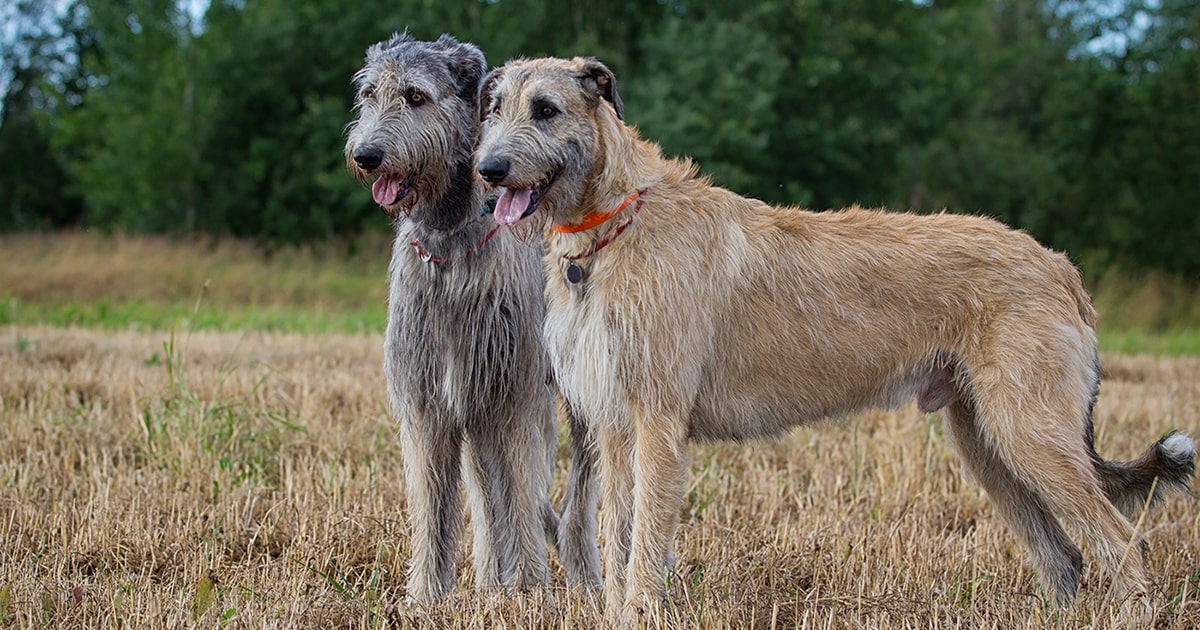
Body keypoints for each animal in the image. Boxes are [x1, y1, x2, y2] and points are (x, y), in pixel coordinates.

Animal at [345, 34, 597, 604]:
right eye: (369, 94)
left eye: (415, 96)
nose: (365, 154)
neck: (447, 244)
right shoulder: (430, 401)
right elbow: (433, 504)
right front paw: (425, 596)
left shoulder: (514, 395)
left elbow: (521, 493)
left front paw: (529, 589)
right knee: (487, 495)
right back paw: (488, 577)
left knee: (576, 493)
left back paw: (583, 572)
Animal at [475, 56, 1190, 619]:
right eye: (494, 107)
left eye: (546, 109)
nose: (487, 171)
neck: (615, 223)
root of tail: (1061, 266)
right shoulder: (619, 426)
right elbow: (620, 535)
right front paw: (622, 613)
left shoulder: (657, 421)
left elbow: (646, 539)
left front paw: (642, 611)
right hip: (987, 442)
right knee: (1064, 554)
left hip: (1029, 430)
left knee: (1122, 538)